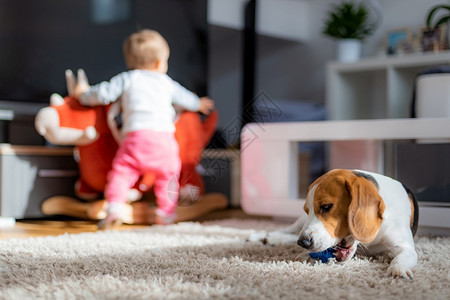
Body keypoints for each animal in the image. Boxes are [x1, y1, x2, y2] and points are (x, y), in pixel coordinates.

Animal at [251, 169, 420, 278]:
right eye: (307, 210)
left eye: (326, 206)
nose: (303, 242)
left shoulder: (406, 247)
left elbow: (403, 256)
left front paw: (398, 269)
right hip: (300, 223)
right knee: (285, 231)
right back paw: (262, 236)